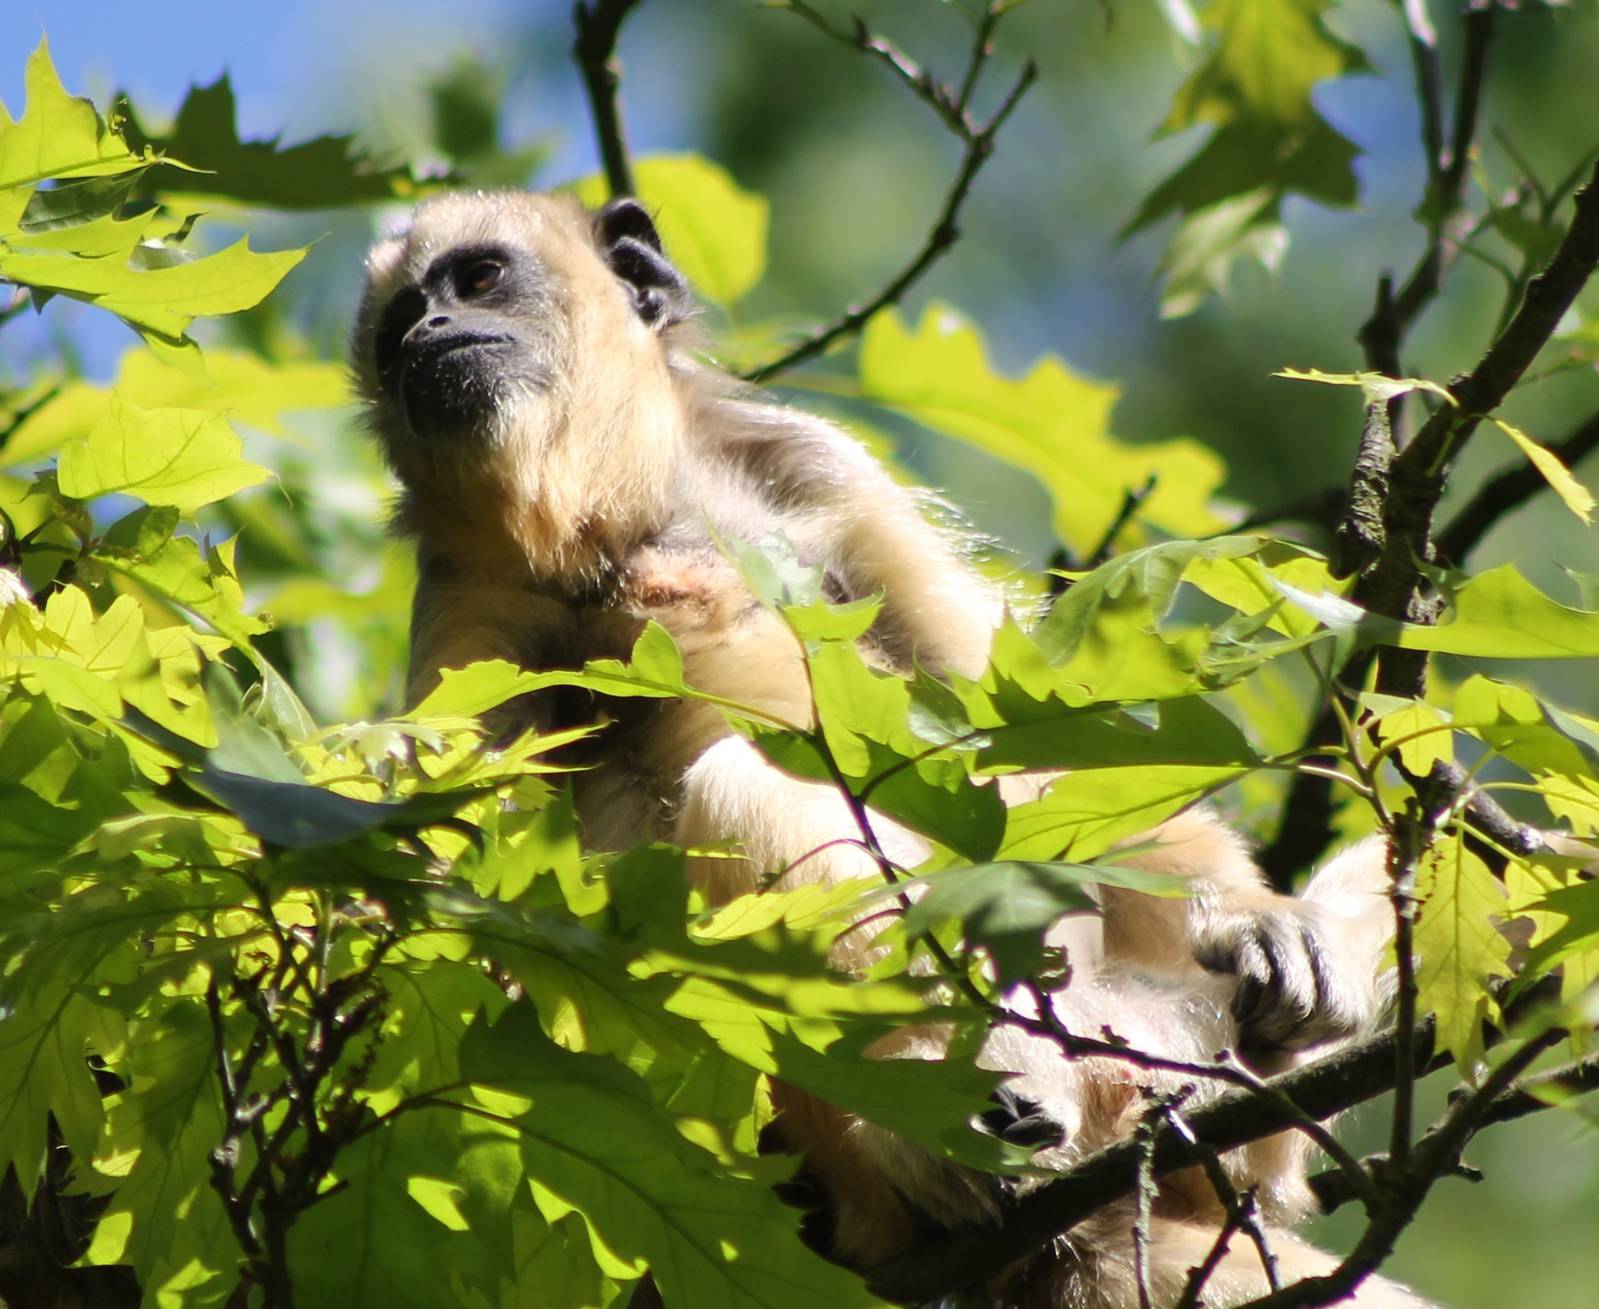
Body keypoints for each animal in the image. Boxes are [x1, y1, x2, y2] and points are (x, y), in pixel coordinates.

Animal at [351, 190, 1437, 1309]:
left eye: (477, 279)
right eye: (395, 335)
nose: (428, 335)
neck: (621, 524)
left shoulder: (810, 460)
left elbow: (1017, 735)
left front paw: (1268, 924)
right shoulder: (467, 601)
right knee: (744, 786)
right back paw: (947, 1121)